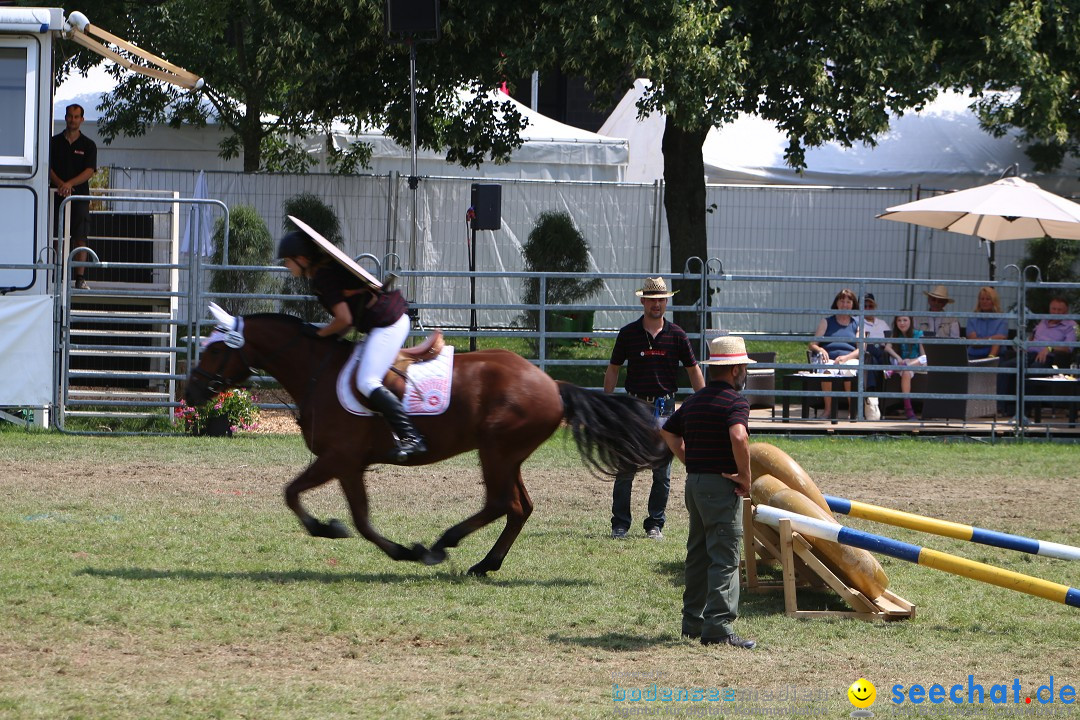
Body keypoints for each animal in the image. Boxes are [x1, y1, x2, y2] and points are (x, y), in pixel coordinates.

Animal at [185, 313, 665, 578]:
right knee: (519, 508)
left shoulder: (340, 459)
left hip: (496, 451)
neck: (316, 371)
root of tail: (553, 384)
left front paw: (345, 533)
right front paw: (376, 541)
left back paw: (443, 543)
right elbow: (351, 515)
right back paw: (485, 564)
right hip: (509, 456)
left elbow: (316, 503)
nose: (193, 392)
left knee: (501, 504)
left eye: (213, 350)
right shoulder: (348, 464)